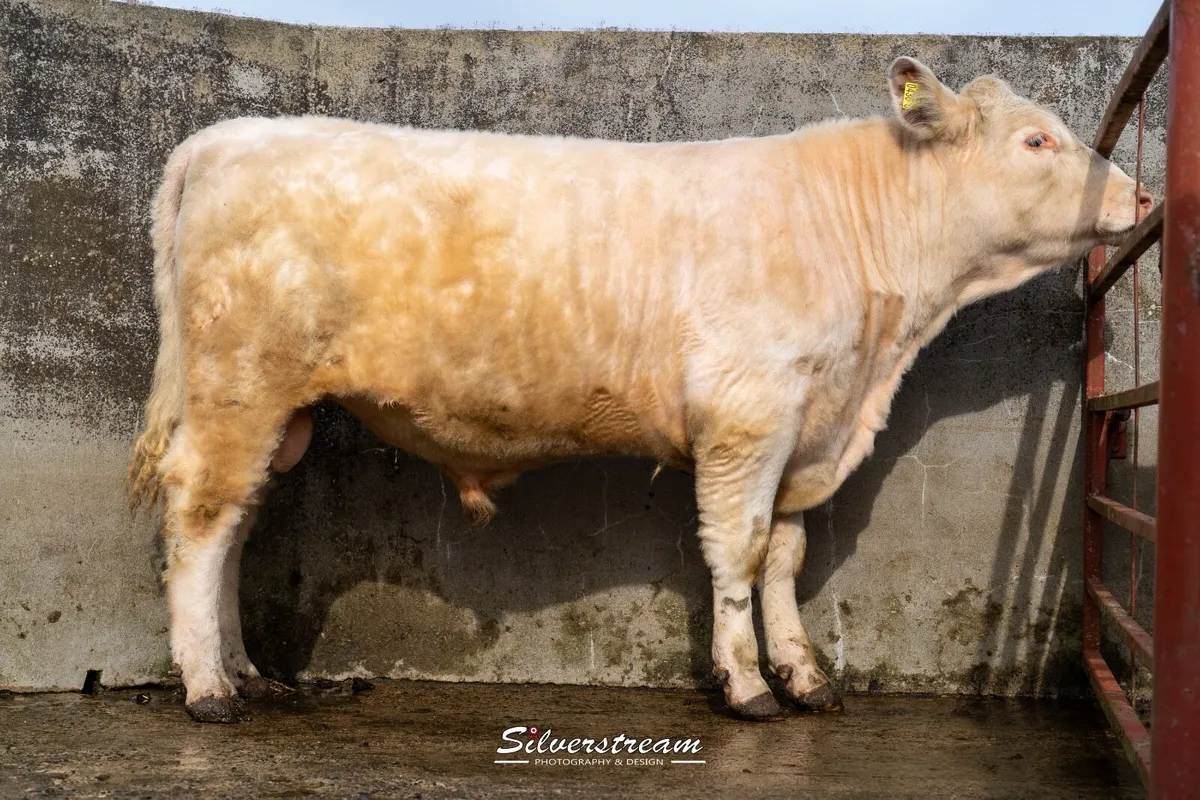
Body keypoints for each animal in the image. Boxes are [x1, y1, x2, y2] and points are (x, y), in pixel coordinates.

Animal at [128, 57, 1151, 723]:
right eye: (1037, 139)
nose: (1141, 198)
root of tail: (224, 135)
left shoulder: (811, 430)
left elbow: (784, 558)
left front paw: (804, 676)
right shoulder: (748, 416)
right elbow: (737, 550)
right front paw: (746, 686)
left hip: (277, 410)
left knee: (235, 523)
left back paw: (244, 672)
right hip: (240, 383)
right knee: (201, 518)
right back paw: (207, 691)